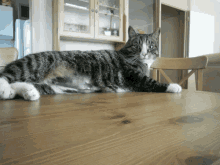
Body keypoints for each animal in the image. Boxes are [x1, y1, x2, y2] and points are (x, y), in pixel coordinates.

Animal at [0, 26, 181, 100]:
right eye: (137, 45)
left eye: (151, 46)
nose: (144, 53)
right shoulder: (134, 76)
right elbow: (151, 82)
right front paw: (174, 86)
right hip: (34, 63)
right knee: (5, 76)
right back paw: (5, 90)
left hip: (59, 88)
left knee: (22, 84)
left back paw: (28, 92)